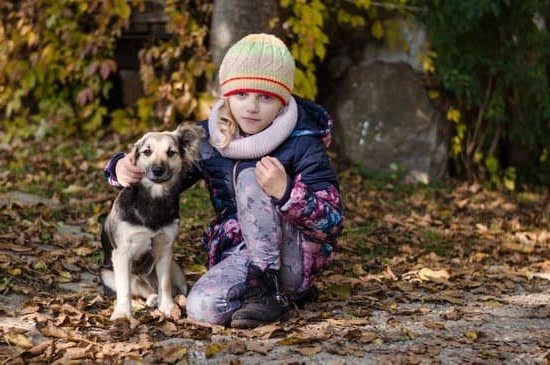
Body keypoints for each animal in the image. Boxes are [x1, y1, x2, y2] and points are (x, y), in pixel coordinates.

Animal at [101, 123, 205, 320]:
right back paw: (151, 299)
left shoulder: (165, 249)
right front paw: (122, 313)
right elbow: (124, 289)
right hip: (107, 274)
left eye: (171, 152)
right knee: (142, 288)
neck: (154, 199)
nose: (158, 170)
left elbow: (165, 283)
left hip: (176, 268)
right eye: (147, 152)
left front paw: (168, 307)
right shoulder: (122, 254)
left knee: (176, 288)